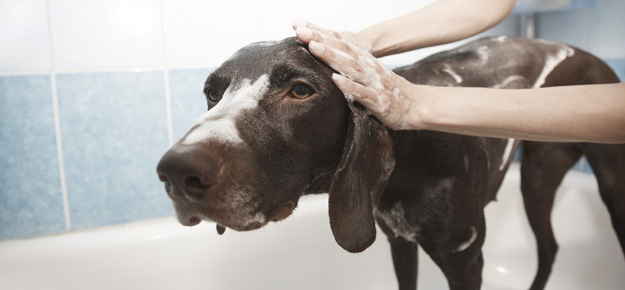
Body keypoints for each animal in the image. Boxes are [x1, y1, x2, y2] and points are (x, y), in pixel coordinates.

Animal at [157, 36, 624, 290]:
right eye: (212, 93)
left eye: (300, 90)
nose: (176, 171)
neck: (410, 161)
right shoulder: (400, 243)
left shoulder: (466, 262)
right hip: (537, 180)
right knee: (549, 247)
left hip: (598, 185)